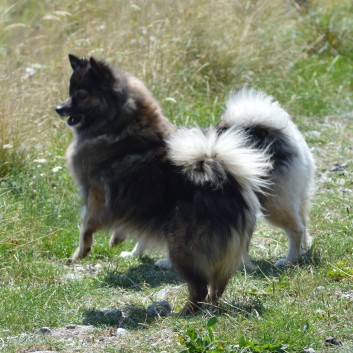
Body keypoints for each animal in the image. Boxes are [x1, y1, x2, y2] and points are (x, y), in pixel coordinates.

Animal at [55, 54, 314, 310]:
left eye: (81, 95)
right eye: (70, 91)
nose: (59, 108)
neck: (122, 129)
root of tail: (277, 133)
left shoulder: (99, 194)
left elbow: (88, 225)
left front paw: (84, 251)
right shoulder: (140, 203)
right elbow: (137, 234)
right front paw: (130, 250)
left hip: (271, 204)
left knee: (296, 229)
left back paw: (289, 259)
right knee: (302, 223)